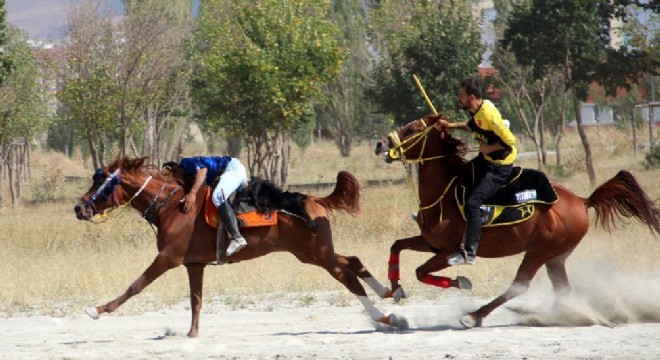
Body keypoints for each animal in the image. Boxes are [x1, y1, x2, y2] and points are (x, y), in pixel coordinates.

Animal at [72, 157, 404, 338]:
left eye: (101, 182)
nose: (79, 208)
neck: (171, 205)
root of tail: (311, 199)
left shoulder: (167, 258)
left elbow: (135, 286)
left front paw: (97, 310)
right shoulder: (194, 264)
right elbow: (196, 300)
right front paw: (192, 334)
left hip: (317, 254)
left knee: (346, 276)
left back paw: (383, 316)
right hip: (311, 253)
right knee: (353, 261)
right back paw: (391, 293)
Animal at [376, 116, 660, 330]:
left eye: (412, 128)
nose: (380, 144)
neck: (446, 192)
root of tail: (582, 200)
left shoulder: (449, 251)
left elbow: (421, 271)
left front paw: (461, 282)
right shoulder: (430, 243)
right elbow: (397, 246)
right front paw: (395, 288)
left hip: (539, 251)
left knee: (519, 285)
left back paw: (473, 316)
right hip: (555, 257)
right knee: (562, 289)